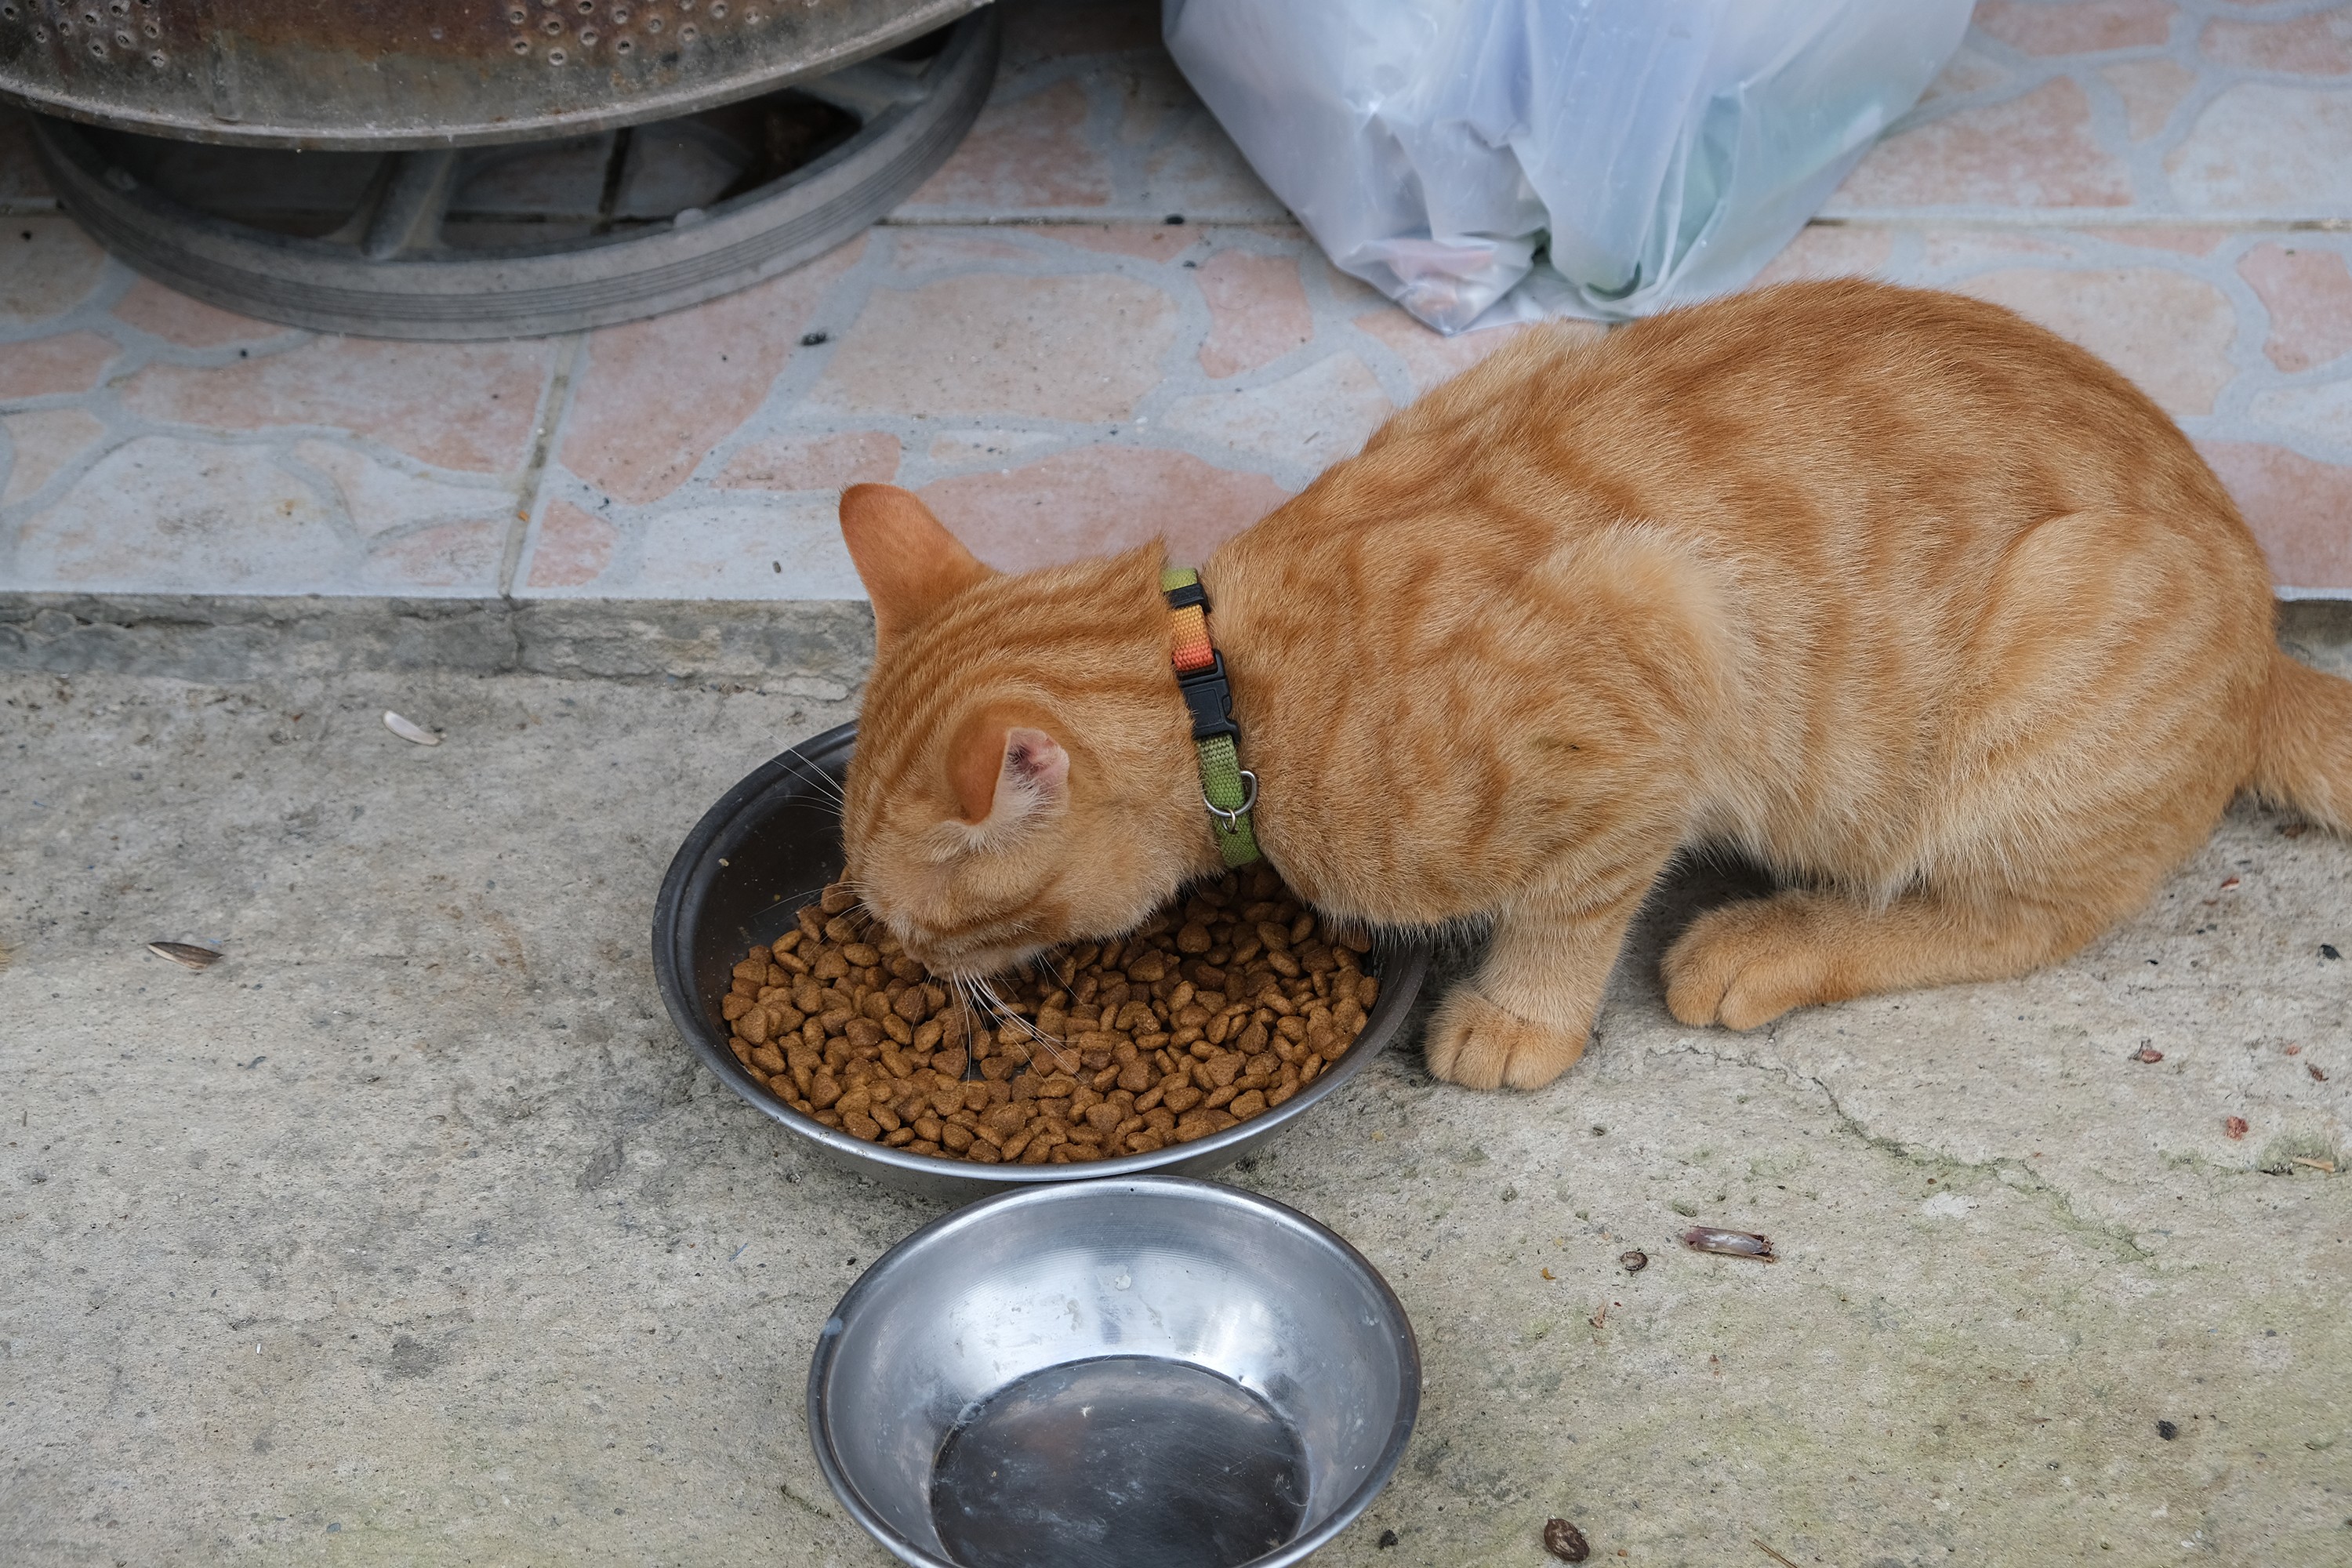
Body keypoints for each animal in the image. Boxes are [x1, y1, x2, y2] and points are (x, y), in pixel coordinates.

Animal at [837, 281, 2343, 1091]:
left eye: (911, 919)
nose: (901, 963)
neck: (1231, 687)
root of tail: (2271, 630)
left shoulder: (1660, 653)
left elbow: (1572, 901)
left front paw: (1520, 1015)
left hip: (2054, 651)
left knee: (2015, 918)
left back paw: (1777, 940)